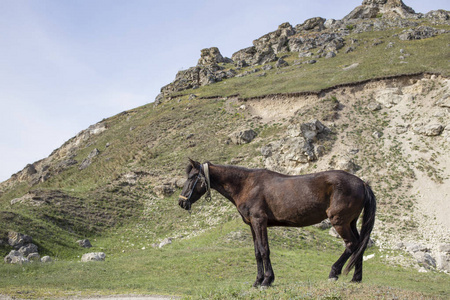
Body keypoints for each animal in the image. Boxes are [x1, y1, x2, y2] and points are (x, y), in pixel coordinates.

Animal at [178, 158, 374, 288]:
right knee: (360, 245)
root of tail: (362, 183)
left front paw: (266, 280)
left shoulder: (259, 221)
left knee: (352, 244)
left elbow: (265, 250)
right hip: (351, 222)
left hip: (339, 222)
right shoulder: (252, 225)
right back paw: (356, 278)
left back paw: (334, 272)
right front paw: (258, 281)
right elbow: (257, 252)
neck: (246, 185)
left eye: (192, 177)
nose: (181, 202)